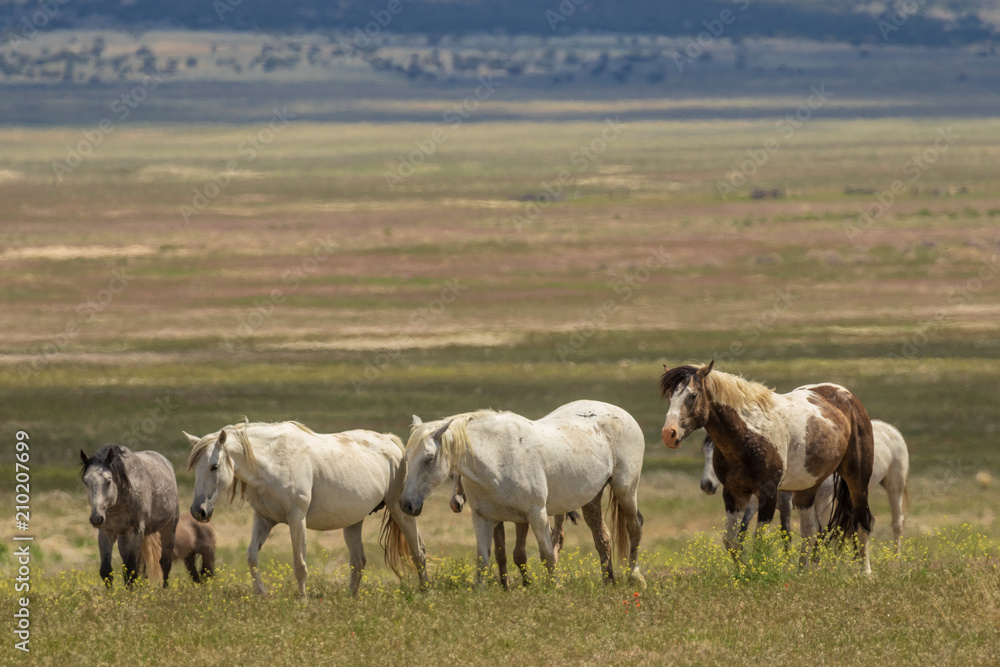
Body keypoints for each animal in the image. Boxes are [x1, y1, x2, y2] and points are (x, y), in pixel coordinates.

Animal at [80, 446, 180, 588]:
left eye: (108, 481)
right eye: (86, 481)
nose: (96, 518)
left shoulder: (136, 532)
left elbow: (131, 571)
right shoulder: (106, 533)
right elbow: (107, 571)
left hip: (169, 528)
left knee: (165, 563)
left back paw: (164, 589)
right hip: (125, 538)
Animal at [186, 420, 428, 596]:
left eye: (214, 466)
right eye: (196, 468)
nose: (198, 511)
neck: (274, 461)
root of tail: (391, 442)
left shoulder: (296, 518)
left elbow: (299, 564)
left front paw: (302, 600)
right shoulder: (263, 519)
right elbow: (252, 556)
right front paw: (261, 594)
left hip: (400, 510)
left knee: (418, 552)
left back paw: (425, 592)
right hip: (353, 522)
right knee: (358, 561)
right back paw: (350, 597)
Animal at [400, 400, 648, 588]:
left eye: (429, 458)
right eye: (407, 456)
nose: (406, 504)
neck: (497, 457)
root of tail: (622, 413)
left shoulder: (536, 515)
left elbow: (547, 554)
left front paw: (554, 587)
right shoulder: (484, 519)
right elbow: (484, 558)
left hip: (626, 490)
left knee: (634, 527)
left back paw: (635, 577)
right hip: (591, 499)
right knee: (602, 537)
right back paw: (609, 582)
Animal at [664, 362, 876, 572]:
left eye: (692, 395)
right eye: (669, 397)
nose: (668, 434)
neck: (749, 434)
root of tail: (846, 396)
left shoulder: (769, 493)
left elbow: (760, 540)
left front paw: (759, 572)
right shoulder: (735, 493)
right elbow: (732, 540)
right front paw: (744, 573)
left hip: (856, 482)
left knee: (863, 522)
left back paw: (865, 572)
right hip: (807, 489)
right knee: (810, 530)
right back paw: (802, 573)